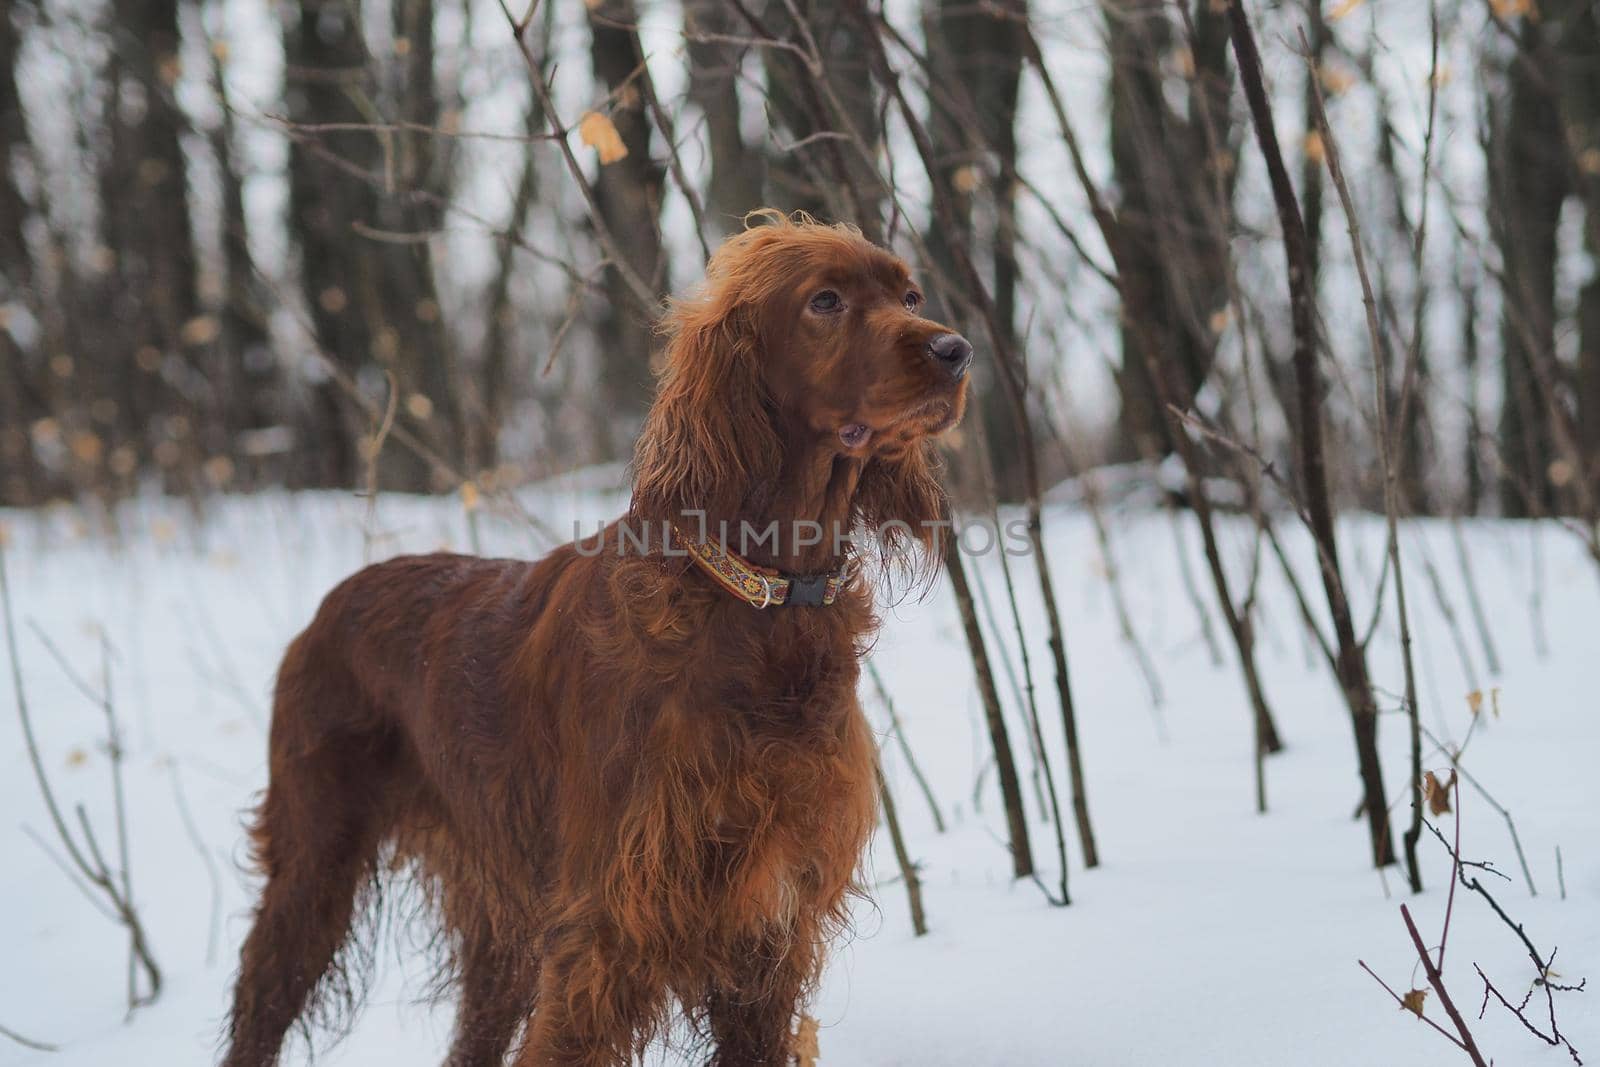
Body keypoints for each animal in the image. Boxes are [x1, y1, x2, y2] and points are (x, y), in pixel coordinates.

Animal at [222, 212, 972, 1062]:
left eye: (909, 296)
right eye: (826, 301)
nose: (956, 351)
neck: (761, 603)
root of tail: (329, 604)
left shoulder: (766, 932)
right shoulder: (609, 927)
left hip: (499, 925)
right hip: (313, 868)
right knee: (258, 1008)